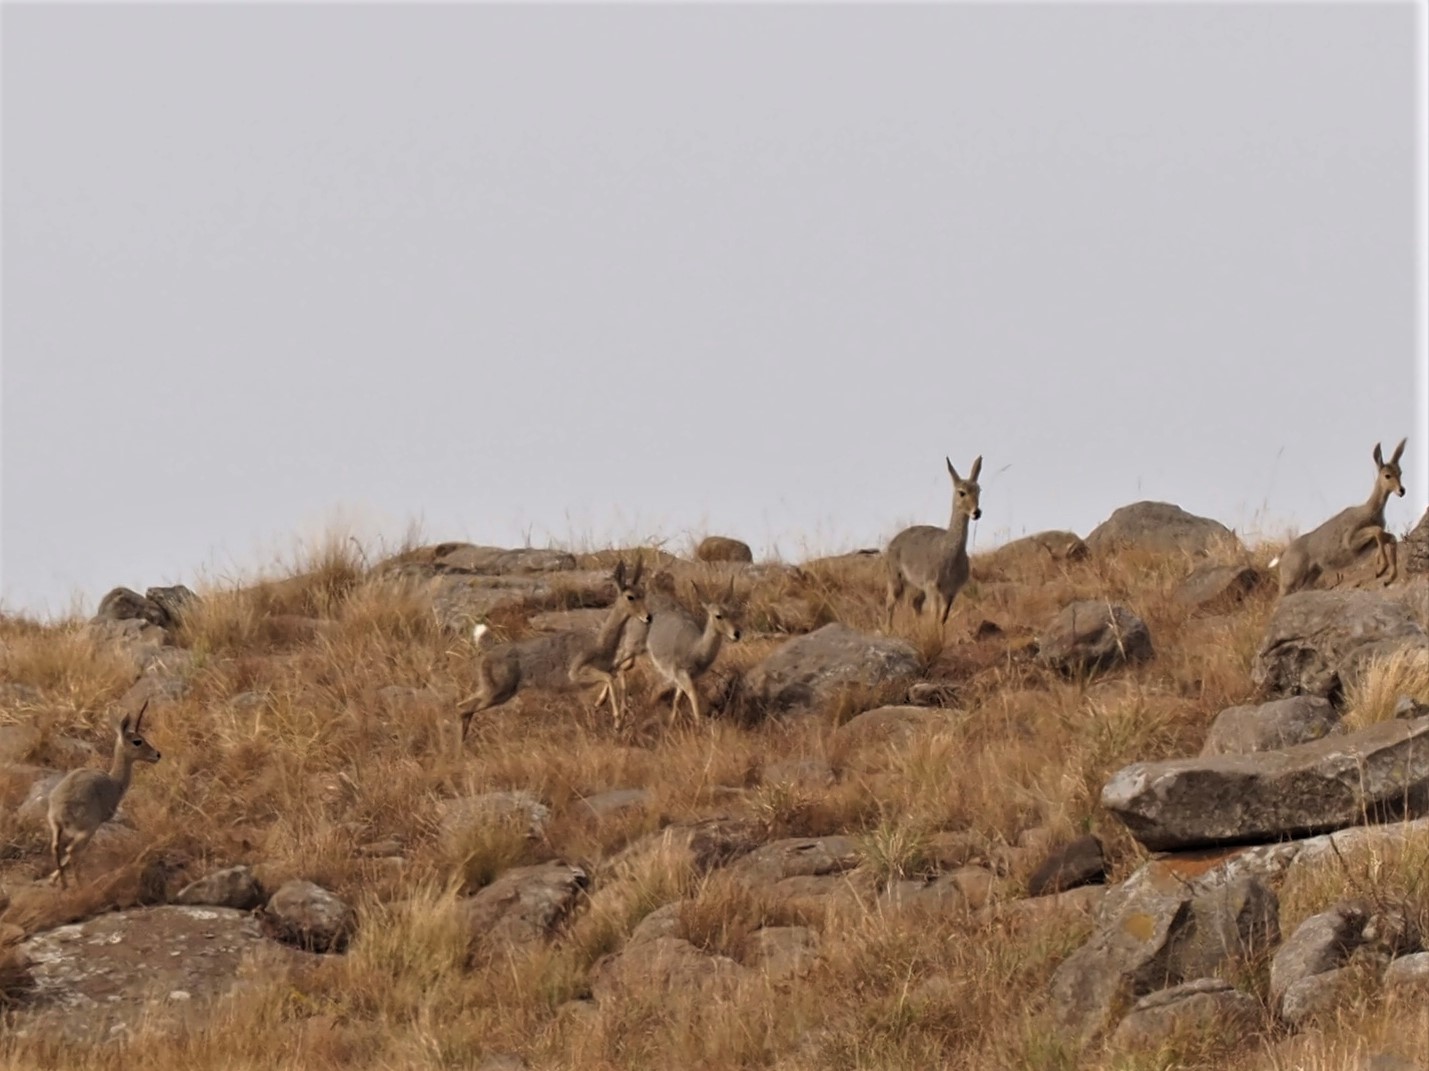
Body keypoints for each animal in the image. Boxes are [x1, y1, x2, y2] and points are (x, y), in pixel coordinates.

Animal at [47, 697, 160, 892]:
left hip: (56, 827)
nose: (157, 754)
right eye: (138, 741)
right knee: (72, 851)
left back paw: (62, 882)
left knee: (56, 847)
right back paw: (79, 884)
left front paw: (51, 880)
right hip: (87, 829)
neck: (114, 781)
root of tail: (61, 810)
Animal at [457, 560, 654, 743]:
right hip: (497, 690)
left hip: (496, 690)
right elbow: (609, 678)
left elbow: (618, 676)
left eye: (644, 594)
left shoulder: (609, 667)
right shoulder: (577, 672)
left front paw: (608, 706)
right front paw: (617, 721)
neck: (600, 641)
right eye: (630, 597)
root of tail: (487, 651)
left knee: (465, 708)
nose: (648, 617)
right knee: (463, 708)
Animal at [880, 454, 983, 632]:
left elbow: (942, 618)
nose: (976, 512)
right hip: (896, 579)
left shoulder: (950, 591)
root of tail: (894, 540)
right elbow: (935, 616)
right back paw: (888, 630)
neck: (950, 553)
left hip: (918, 587)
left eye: (978, 490)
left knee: (914, 604)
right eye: (961, 492)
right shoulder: (933, 587)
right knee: (890, 603)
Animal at [1274, 437, 1406, 597]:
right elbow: (1377, 531)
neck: (1369, 511)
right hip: (1290, 579)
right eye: (1387, 475)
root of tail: (1283, 556)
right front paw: (1381, 570)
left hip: (1311, 576)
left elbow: (1390, 537)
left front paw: (1389, 578)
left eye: (1400, 472)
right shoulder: (1350, 541)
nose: (1401, 490)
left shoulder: (1371, 543)